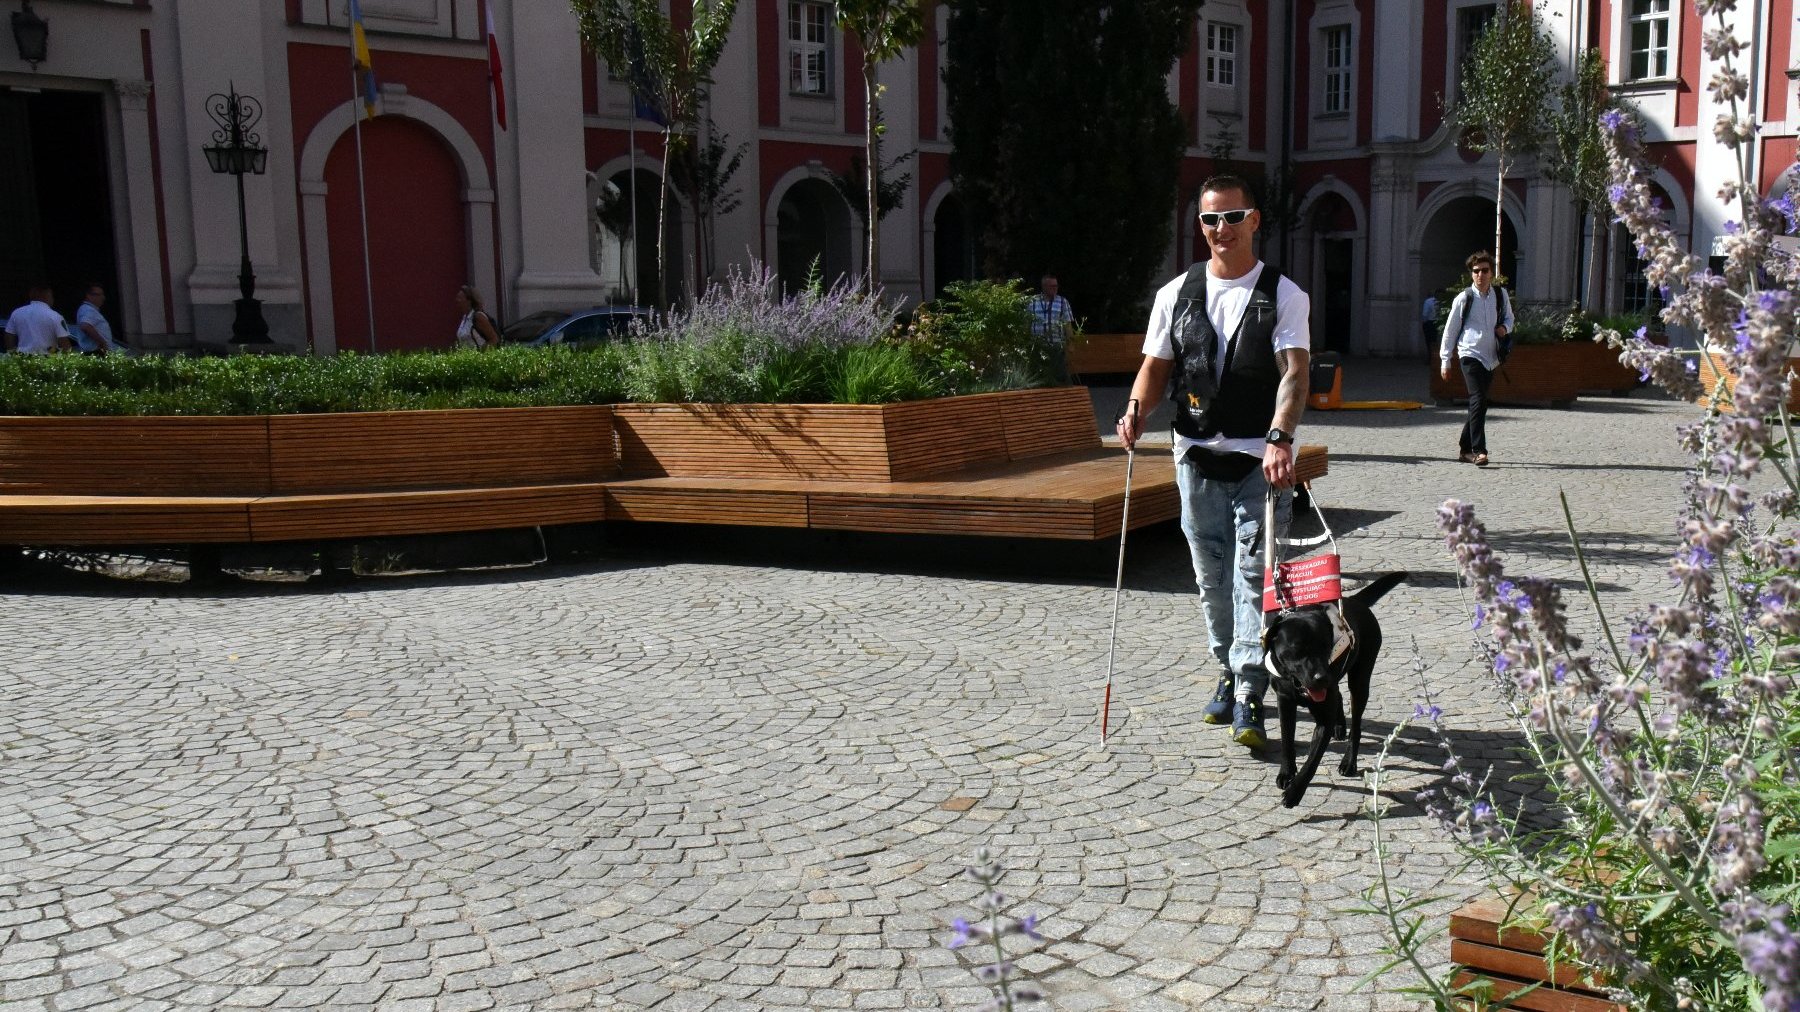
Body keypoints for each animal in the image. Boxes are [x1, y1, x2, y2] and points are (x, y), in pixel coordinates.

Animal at [1267, 572, 1404, 806]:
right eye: (1297, 648)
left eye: (1325, 645)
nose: (1321, 678)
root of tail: (1356, 601)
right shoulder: (1284, 701)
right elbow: (1286, 741)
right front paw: (1286, 773)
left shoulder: (1324, 719)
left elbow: (1312, 762)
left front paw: (1295, 792)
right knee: (1338, 694)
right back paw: (1340, 727)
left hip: (1359, 681)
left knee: (1356, 726)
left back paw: (1349, 761)